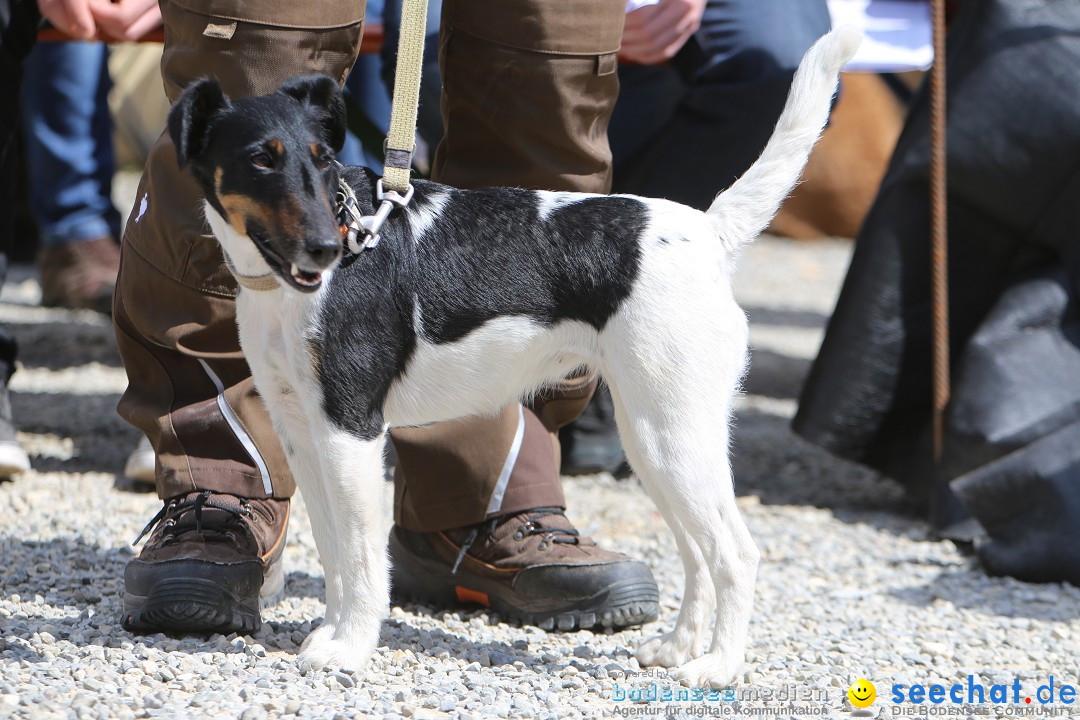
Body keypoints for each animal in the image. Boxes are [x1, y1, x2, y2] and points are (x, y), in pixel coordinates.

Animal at [166, 28, 859, 686]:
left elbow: (362, 558)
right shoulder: (303, 433)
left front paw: (352, 650)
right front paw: (331, 638)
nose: (326, 249)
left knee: (735, 554)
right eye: (260, 159)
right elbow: (336, 555)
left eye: (323, 159)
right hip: (655, 440)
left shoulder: (352, 431)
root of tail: (709, 233)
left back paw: (717, 668)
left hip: (673, 437)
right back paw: (678, 649)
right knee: (697, 551)